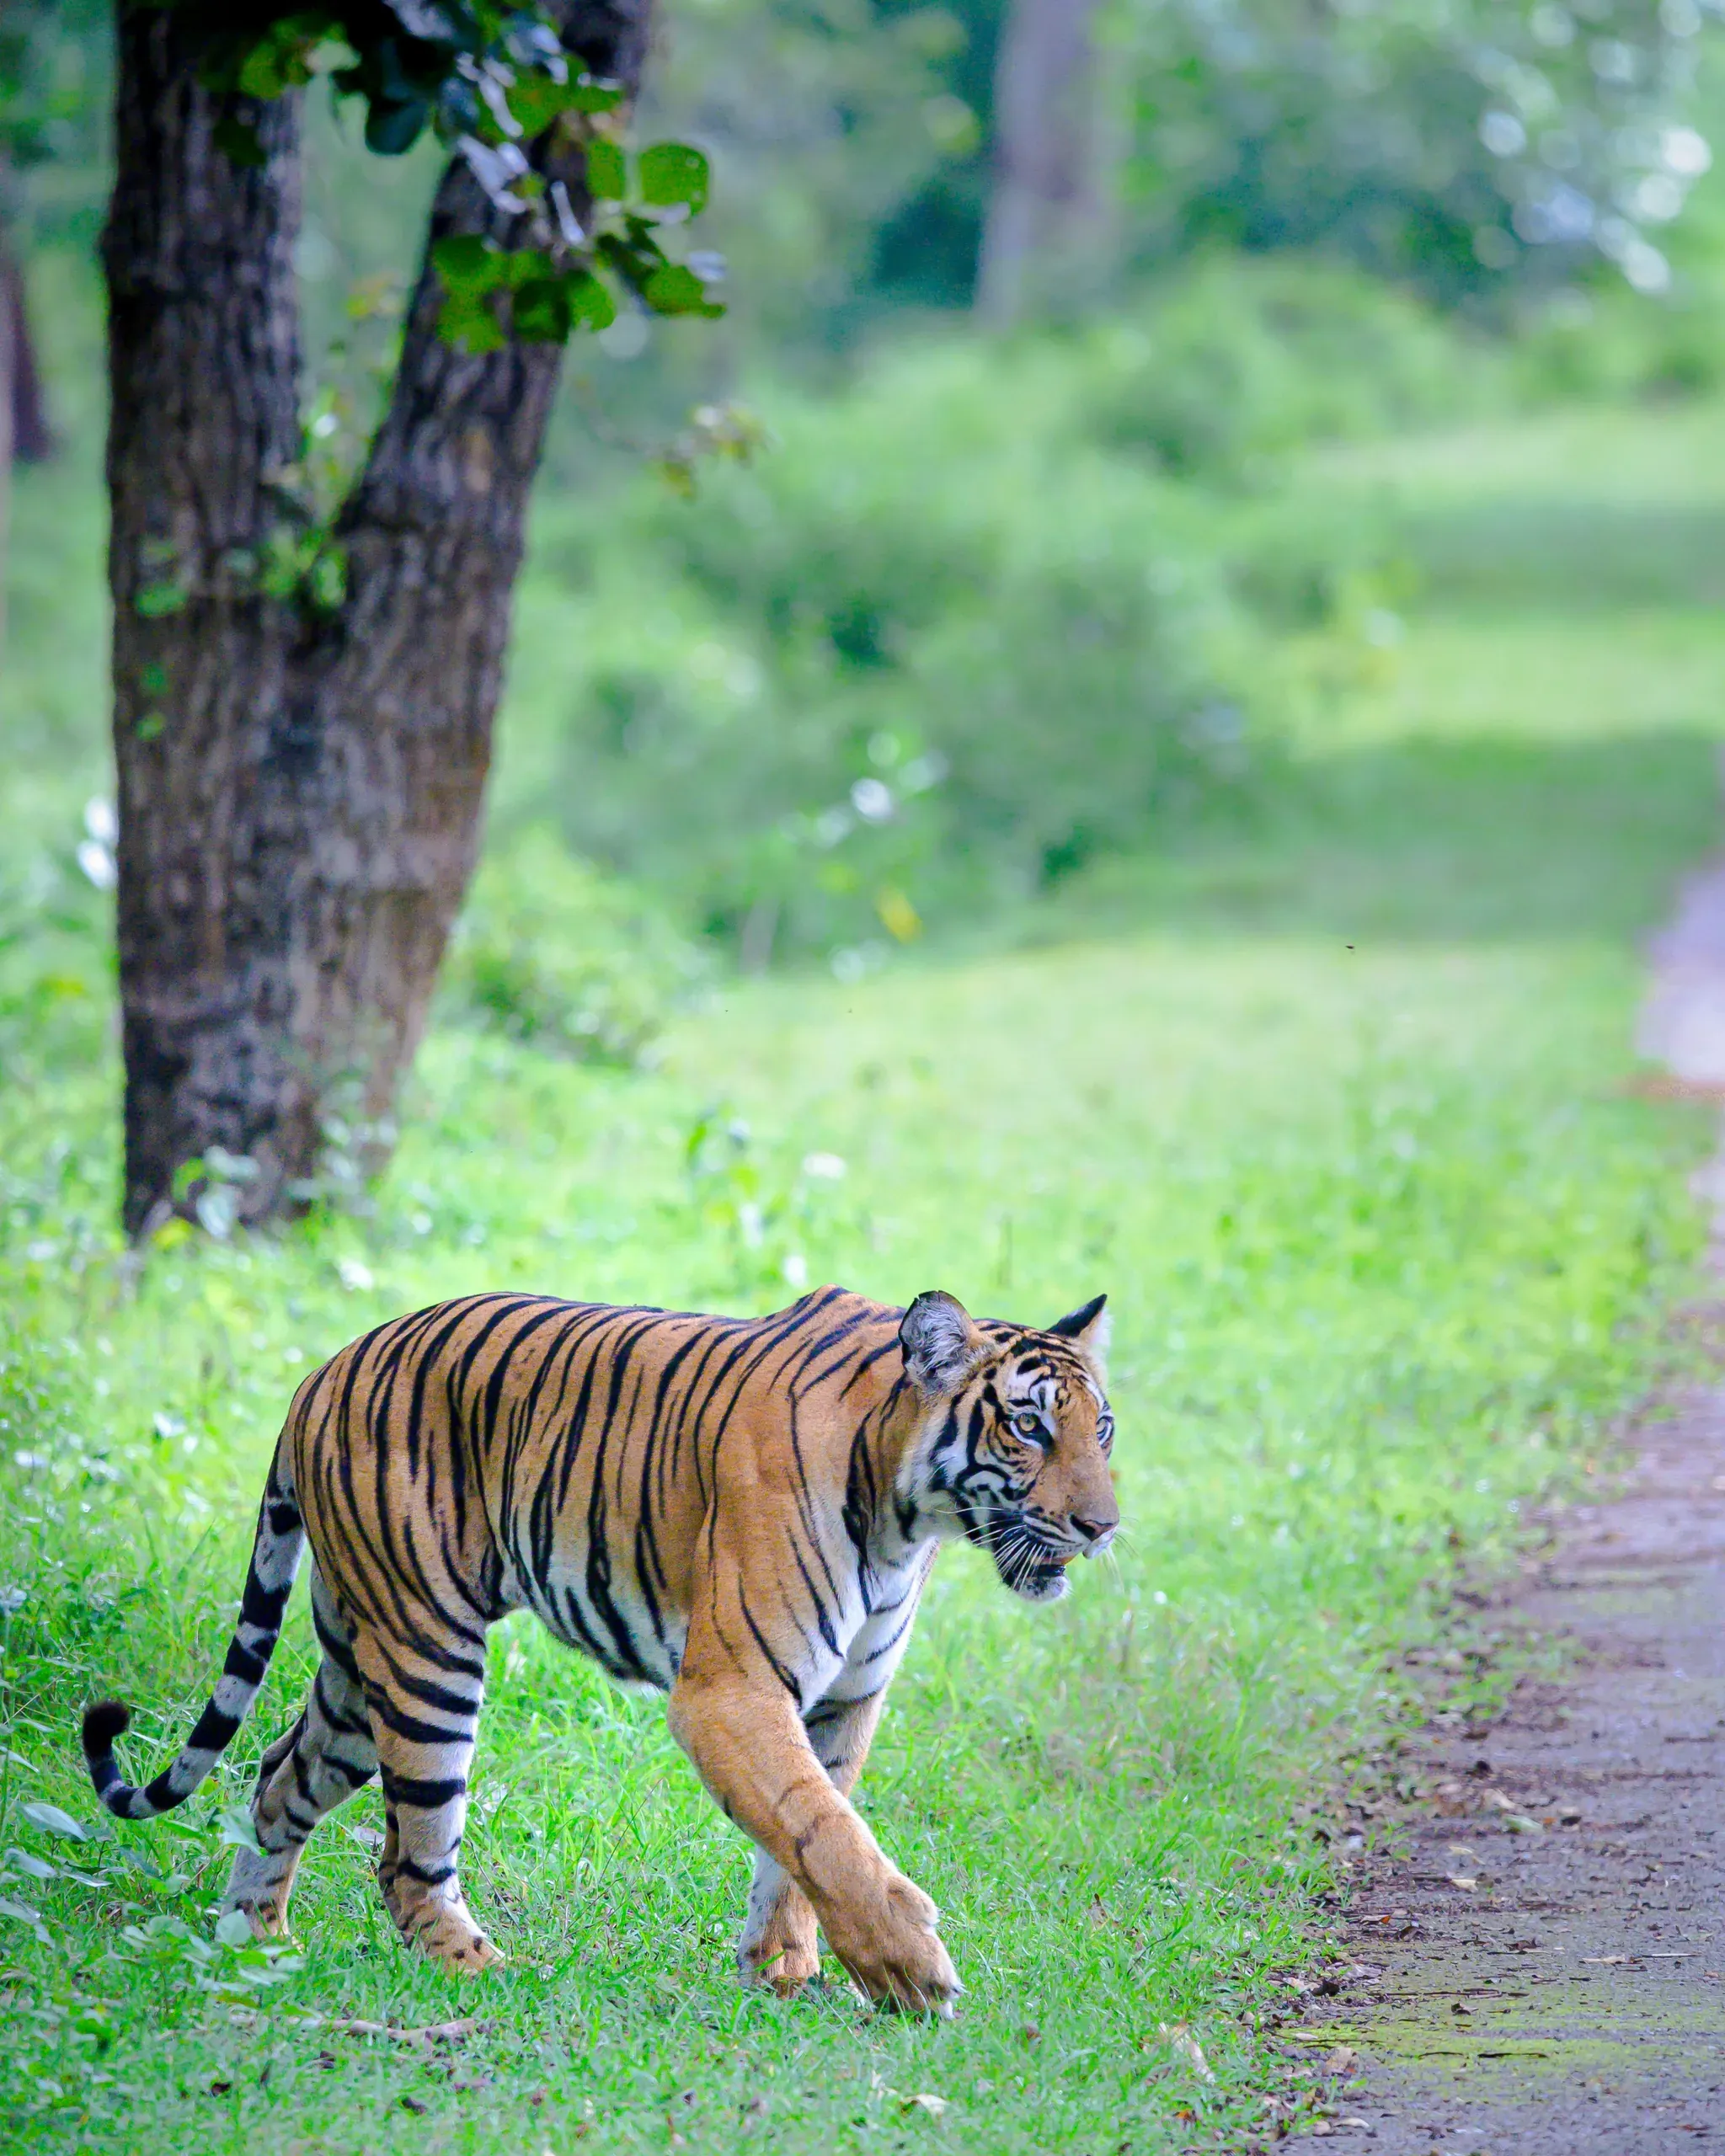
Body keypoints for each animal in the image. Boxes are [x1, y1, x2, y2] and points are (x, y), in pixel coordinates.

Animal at [79, 1283, 1117, 2013]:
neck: (909, 1513)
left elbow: (805, 1833)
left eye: (1100, 1428)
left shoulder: (844, 1698)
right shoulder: (731, 1689)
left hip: (355, 1658)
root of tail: (321, 1370)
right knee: (408, 1863)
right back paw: (489, 1972)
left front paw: (783, 1967)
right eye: (1029, 1426)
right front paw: (909, 1970)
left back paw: (254, 1941)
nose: (1104, 1526)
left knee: (277, 1774)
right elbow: (822, 1827)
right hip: (427, 1654)